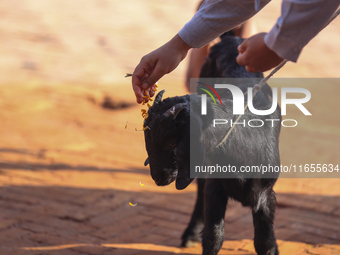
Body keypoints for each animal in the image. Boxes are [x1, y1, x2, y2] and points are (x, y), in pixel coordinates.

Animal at [142, 36, 280, 255]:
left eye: (172, 142)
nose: (158, 177)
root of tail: (231, 39)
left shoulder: (265, 195)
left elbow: (264, 242)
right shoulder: (215, 187)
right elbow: (213, 236)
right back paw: (190, 233)